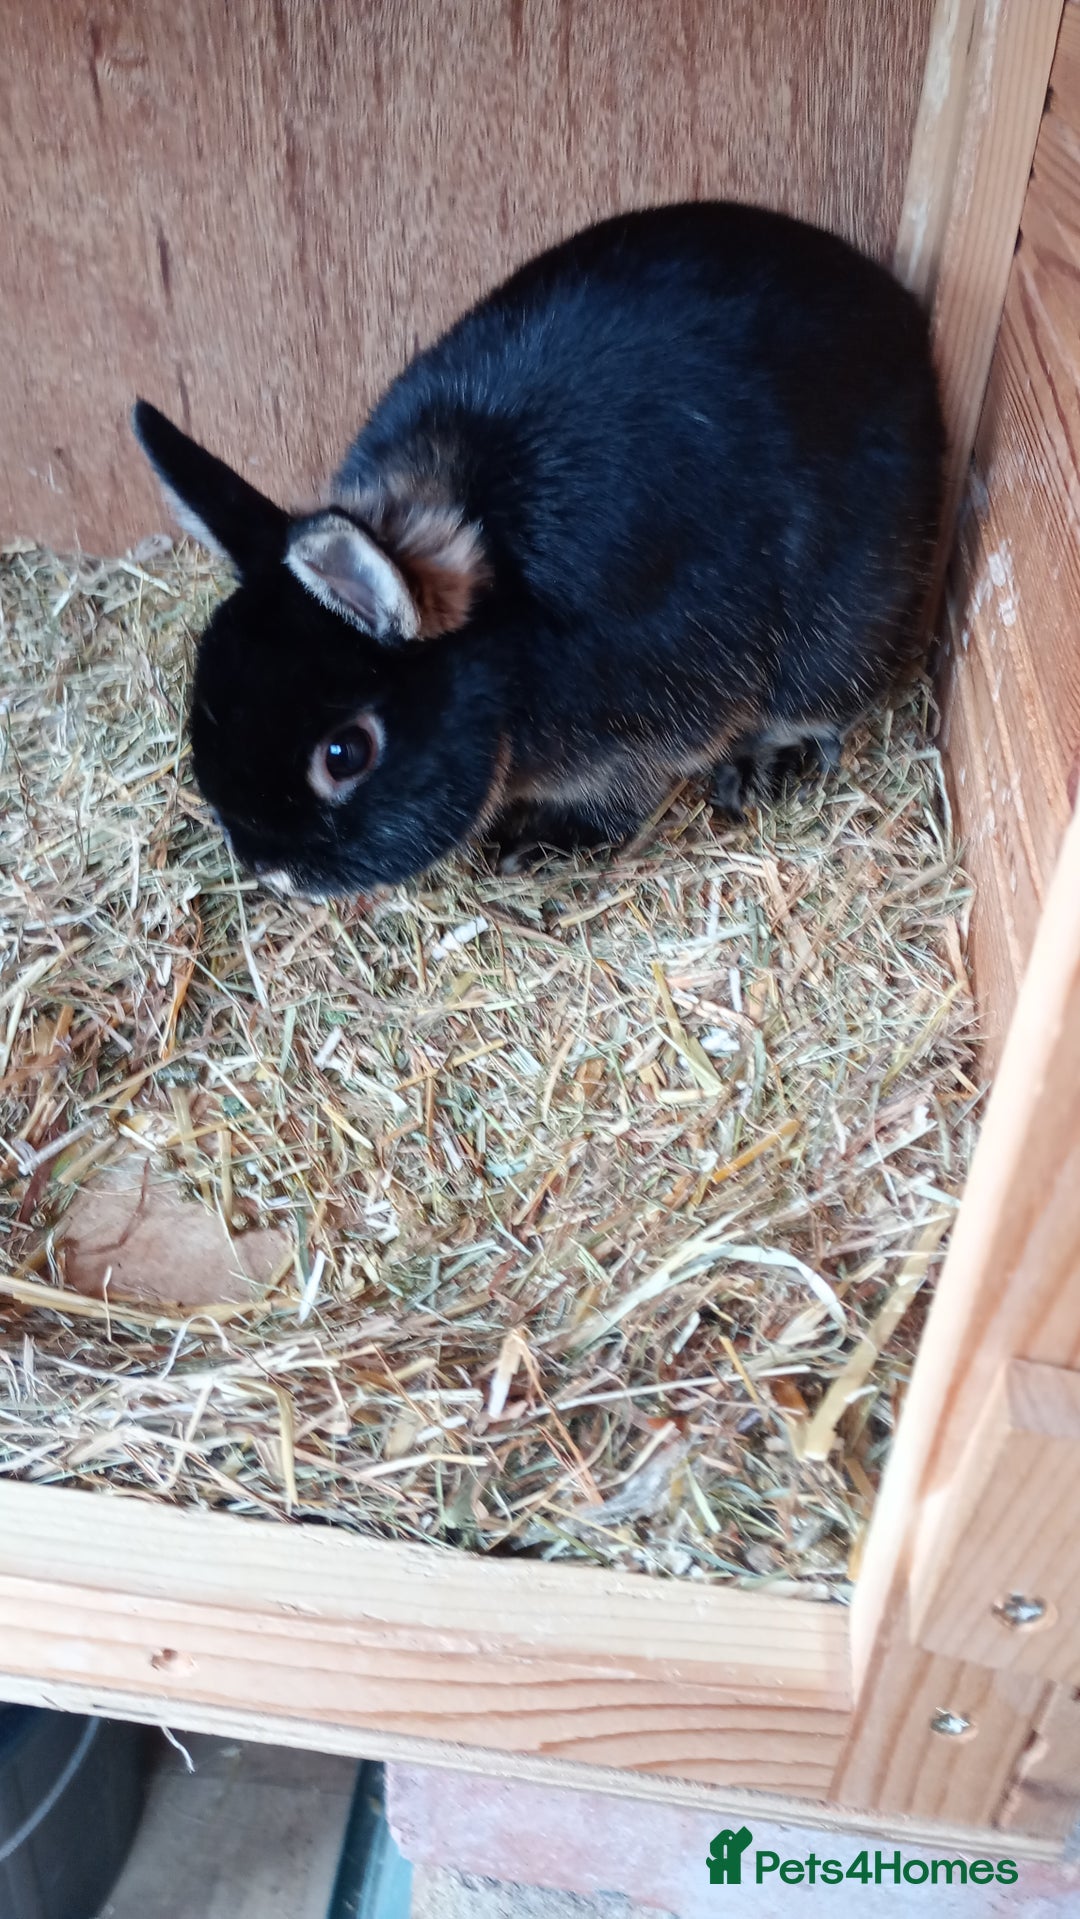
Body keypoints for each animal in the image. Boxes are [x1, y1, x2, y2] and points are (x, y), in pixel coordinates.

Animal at [132, 200, 944, 901]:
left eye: (345, 754)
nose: (269, 869)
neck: (508, 642)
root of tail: (906, 322)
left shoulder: (647, 727)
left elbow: (623, 797)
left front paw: (536, 845)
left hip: (844, 627)